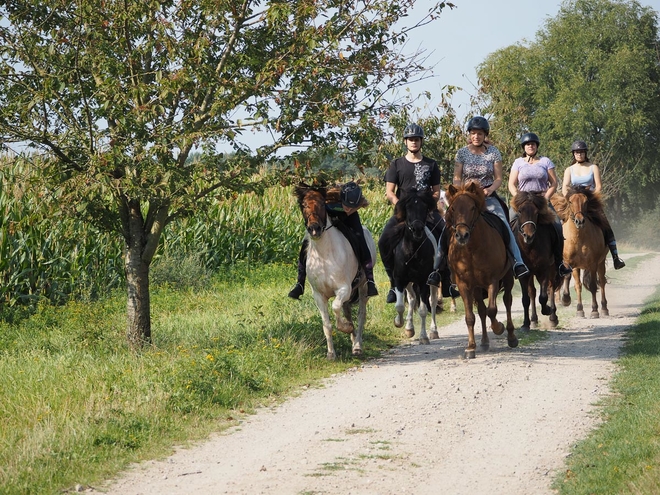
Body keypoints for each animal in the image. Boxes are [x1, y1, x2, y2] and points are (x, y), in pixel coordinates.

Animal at [296, 183, 376, 360]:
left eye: (321, 204)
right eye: (304, 205)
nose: (314, 229)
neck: (324, 255)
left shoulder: (343, 288)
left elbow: (335, 307)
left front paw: (346, 328)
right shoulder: (319, 295)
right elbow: (327, 324)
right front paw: (331, 354)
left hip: (362, 287)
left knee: (361, 315)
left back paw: (357, 346)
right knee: (348, 312)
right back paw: (353, 338)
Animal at [376, 190, 438, 344]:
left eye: (424, 208)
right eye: (408, 208)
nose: (417, 230)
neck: (413, 250)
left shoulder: (424, 281)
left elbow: (423, 309)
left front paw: (424, 337)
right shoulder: (399, 279)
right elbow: (399, 306)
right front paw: (399, 322)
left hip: (433, 280)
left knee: (432, 301)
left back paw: (433, 331)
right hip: (409, 282)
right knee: (411, 299)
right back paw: (409, 328)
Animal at [446, 183, 520, 360]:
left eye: (472, 207)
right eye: (452, 208)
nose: (462, 235)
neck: (471, 249)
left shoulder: (492, 280)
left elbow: (492, 310)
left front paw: (499, 328)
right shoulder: (464, 285)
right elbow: (470, 317)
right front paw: (470, 348)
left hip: (507, 278)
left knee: (507, 302)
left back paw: (511, 337)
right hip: (477, 288)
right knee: (481, 310)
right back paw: (485, 342)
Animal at [512, 192, 560, 332]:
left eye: (537, 212)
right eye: (520, 211)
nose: (528, 236)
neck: (530, 247)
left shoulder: (543, 270)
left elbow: (543, 296)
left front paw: (547, 310)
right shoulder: (524, 274)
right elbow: (526, 298)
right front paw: (525, 324)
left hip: (552, 268)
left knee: (551, 288)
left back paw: (553, 318)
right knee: (532, 292)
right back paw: (533, 320)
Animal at [552, 188, 608, 320]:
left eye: (586, 201)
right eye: (570, 202)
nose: (580, 221)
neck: (579, 238)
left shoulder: (593, 264)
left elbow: (593, 285)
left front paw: (594, 310)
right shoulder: (571, 264)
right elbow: (576, 285)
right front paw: (577, 308)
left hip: (601, 262)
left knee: (602, 282)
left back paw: (604, 308)